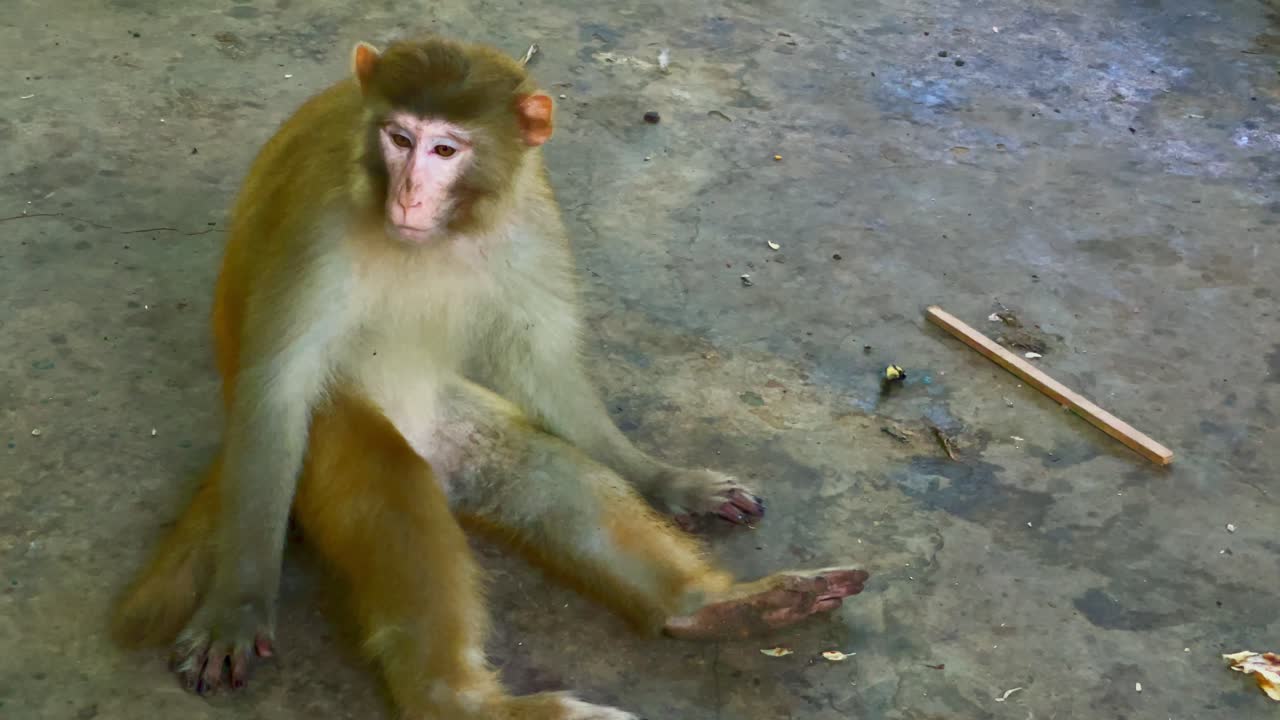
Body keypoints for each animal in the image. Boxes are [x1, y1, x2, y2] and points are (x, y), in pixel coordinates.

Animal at [110, 34, 870, 719]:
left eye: (445, 151)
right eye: (399, 138)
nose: (409, 196)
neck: (441, 234)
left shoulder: (530, 214)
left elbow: (545, 367)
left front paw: (666, 480)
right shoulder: (314, 225)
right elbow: (279, 388)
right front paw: (237, 609)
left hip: (449, 425)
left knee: (547, 472)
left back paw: (717, 608)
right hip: (317, 449)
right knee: (393, 492)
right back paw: (464, 702)